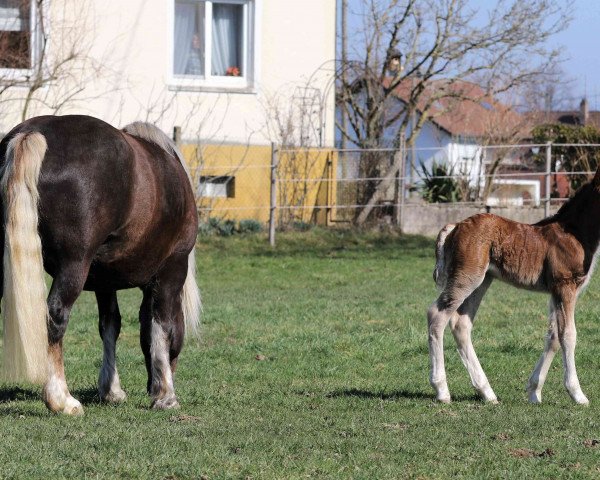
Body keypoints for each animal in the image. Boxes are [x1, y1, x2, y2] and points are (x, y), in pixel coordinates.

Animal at [0, 114, 202, 414]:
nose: (152, 386)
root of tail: (31, 133)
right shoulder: (171, 270)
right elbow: (161, 325)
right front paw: (166, 396)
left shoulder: (104, 281)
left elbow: (110, 325)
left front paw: (111, 390)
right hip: (74, 266)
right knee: (54, 316)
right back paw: (62, 399)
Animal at [428, 170, 600, 404]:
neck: (576, 232)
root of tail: (454, 226)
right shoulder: (565, 286)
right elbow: (568, 335)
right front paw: (577, 394)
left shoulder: (556, 292)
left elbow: (554, 335)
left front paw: (534, 392)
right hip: (467, 278)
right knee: (436, 315)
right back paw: (442, 391)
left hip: (482, 281)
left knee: (460, 324)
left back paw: (487, 392)